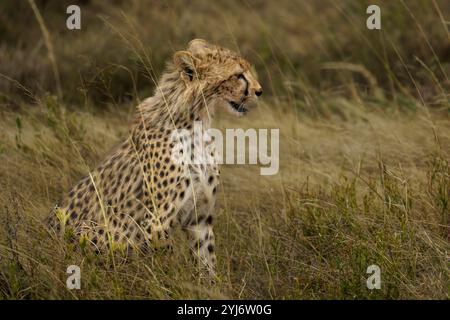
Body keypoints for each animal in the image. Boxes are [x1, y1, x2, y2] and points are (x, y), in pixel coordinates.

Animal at [48, 39, 262, 276]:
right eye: (238, 75)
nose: (259, 91)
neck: (198, 124)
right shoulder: (156, 224)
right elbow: (166, 267)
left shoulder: (200, 219)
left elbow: (207, 263)